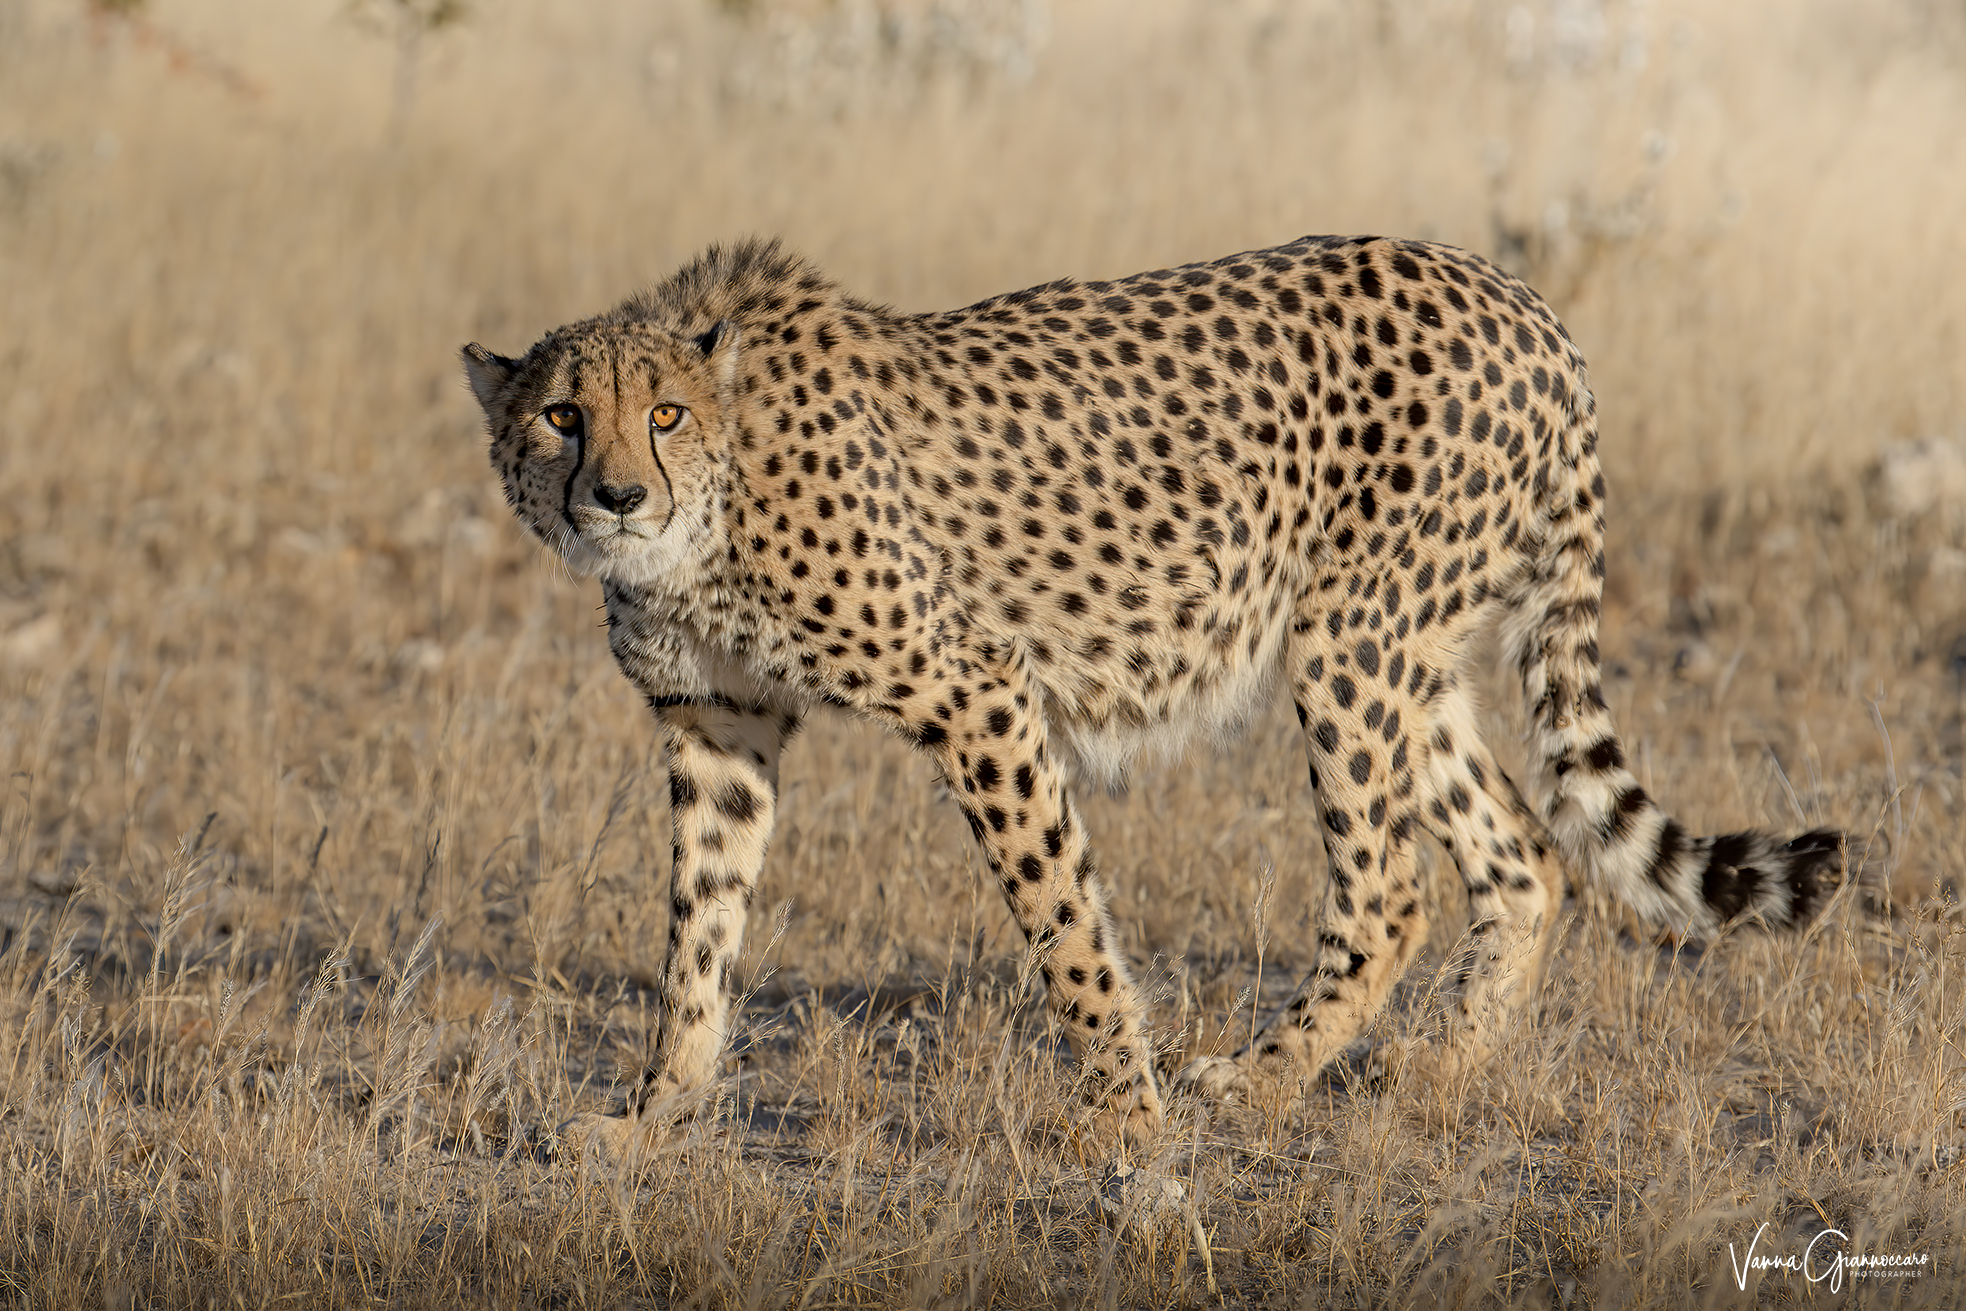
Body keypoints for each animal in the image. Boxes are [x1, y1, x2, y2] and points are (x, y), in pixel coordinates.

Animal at [462, 235, 1843, 1144]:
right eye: (562, 417)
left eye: (666, 414)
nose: (615, 496)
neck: (720, 502)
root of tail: (1516, 295)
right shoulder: (719, 725)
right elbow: (699, 930)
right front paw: (655, 1115)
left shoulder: (978, 692)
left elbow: (1064, 924)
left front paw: (1125, 1117)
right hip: (1411, 653)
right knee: (1522, 854)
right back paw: (1438, 1073)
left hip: (1344, 642)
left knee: (1389, 886)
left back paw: (1258, 1079)